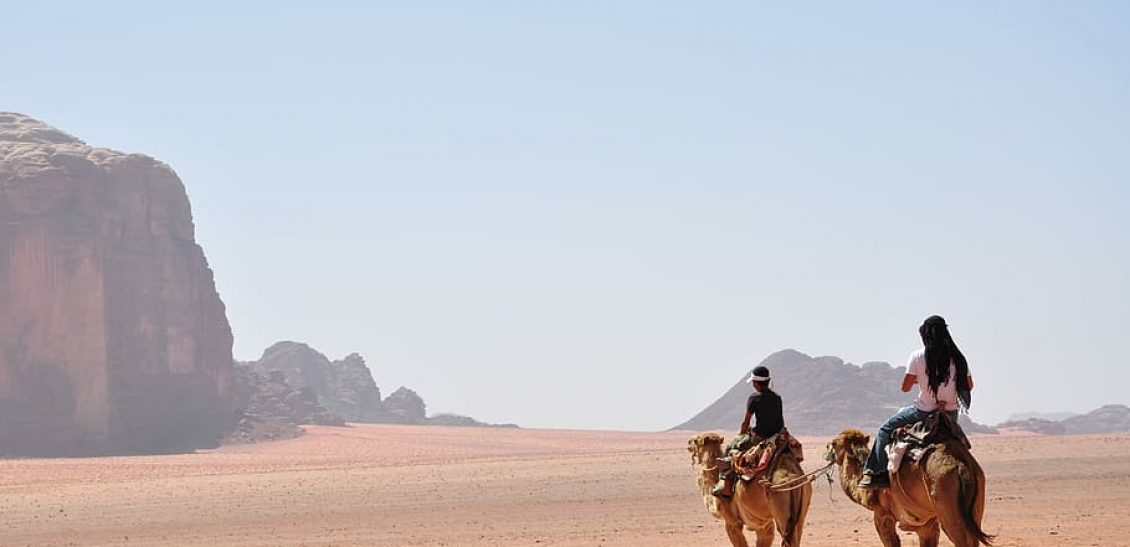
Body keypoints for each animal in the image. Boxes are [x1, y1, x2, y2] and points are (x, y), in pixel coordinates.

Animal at [822, 429, 998, 544]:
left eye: (833, 444)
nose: (825, 450)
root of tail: (962, 465)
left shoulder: (882, 515)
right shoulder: (927, 524)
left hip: (946, 500)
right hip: (976, 500)